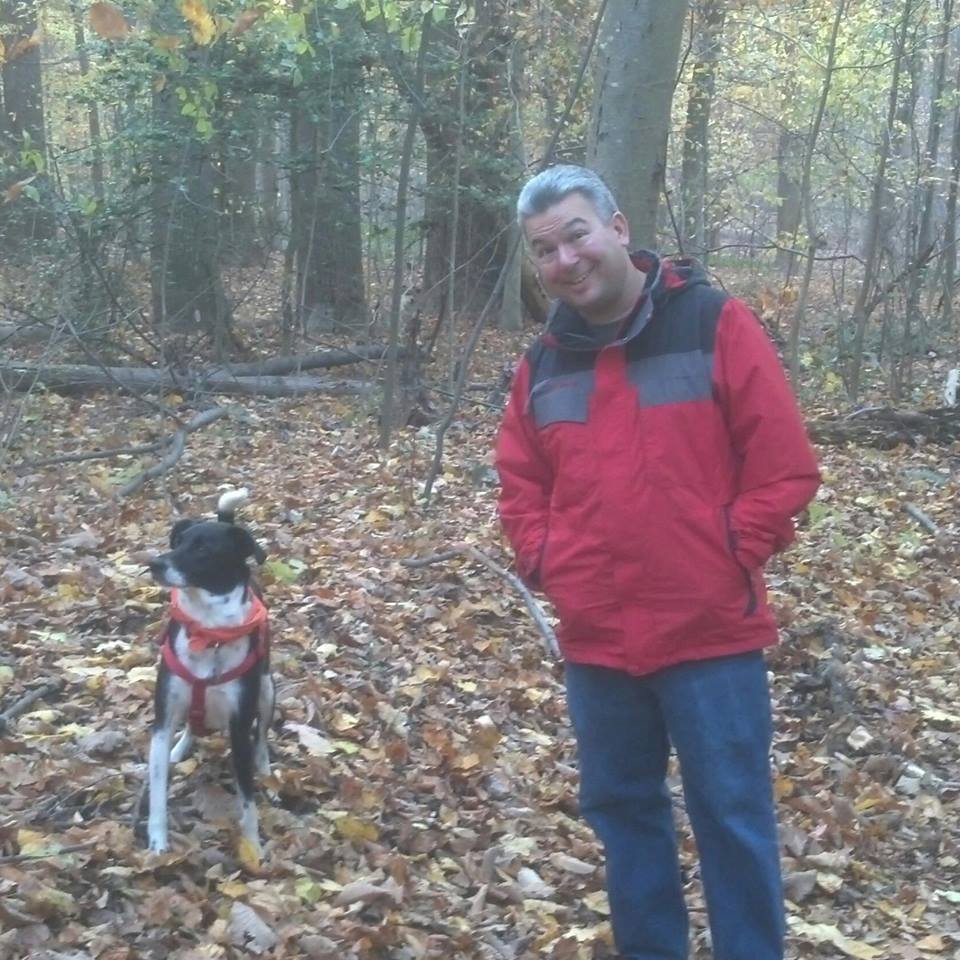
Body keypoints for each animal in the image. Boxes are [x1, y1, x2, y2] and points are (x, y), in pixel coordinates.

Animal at [145, 488, 274, 856]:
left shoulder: (240, 727)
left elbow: (247, 801)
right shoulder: (162, 721)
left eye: (204, 549)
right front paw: (157, 843)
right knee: (191, 723)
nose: (154, 564)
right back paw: (180, 748)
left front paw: (253, 848)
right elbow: (157, 791)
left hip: (267, 689)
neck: (209, 633)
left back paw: (264, 764)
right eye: (177, 541)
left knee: (262, 733)